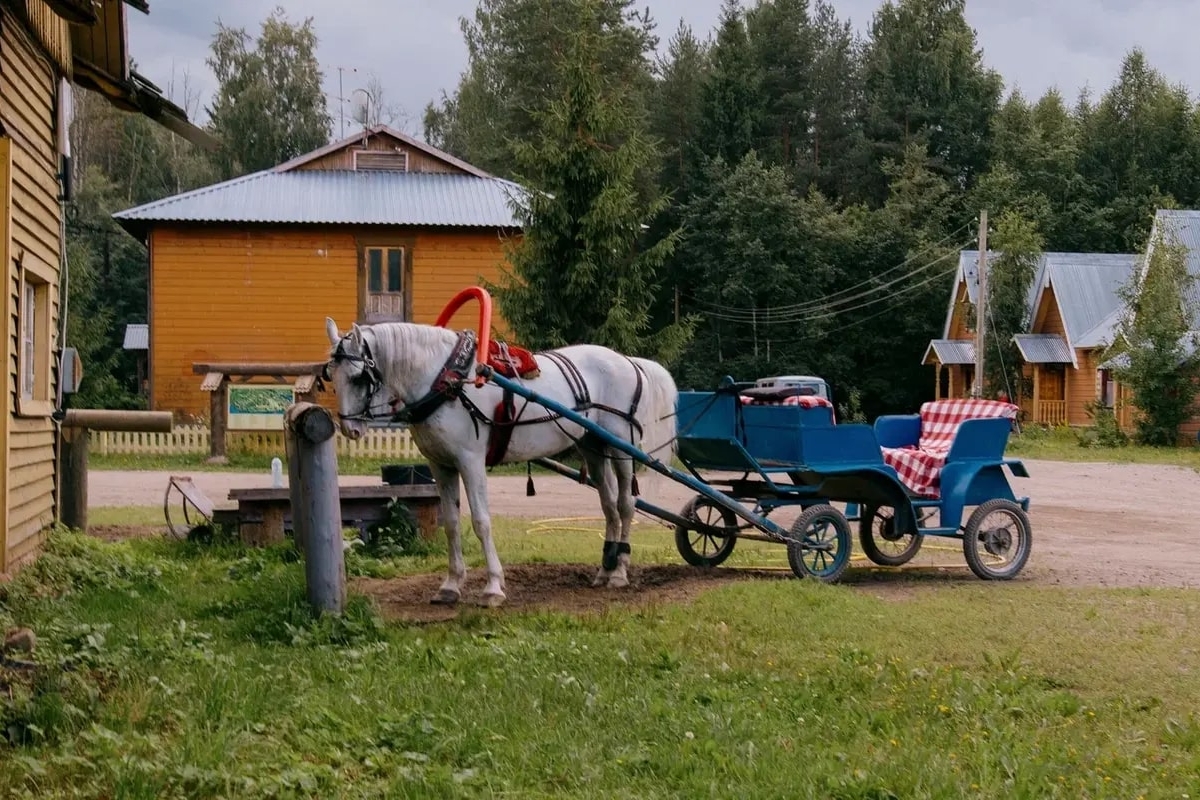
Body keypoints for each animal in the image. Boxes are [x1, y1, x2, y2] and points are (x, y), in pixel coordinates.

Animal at [321, 316, 676, 606]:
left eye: (358, 377)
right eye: (331, 377)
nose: (350, 429)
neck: (445, 380)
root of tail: (628, 361)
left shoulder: (470, 461)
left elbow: (481, 521)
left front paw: (493, 587)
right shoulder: (441, 465)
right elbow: (451, 523)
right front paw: (451, 585)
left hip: (621, 446)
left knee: (626, 504)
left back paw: (620, 572)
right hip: (593, 446)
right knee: (609, 505)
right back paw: (605, 569)